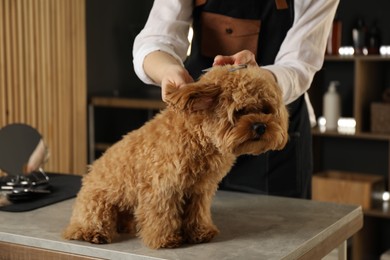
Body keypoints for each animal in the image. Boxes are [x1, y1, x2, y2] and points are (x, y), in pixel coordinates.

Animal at [63, 64, 290, 248]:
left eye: (266, 109)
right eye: (240, 111)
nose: (261, 126)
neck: (197, 137)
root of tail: (88, 176)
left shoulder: (200, 190)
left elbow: (197, 213)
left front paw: (200, 233)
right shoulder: (162, 187)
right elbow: (162, 216)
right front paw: (165, 240)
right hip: (98, 203)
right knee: (84, 224)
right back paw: (91, 233)